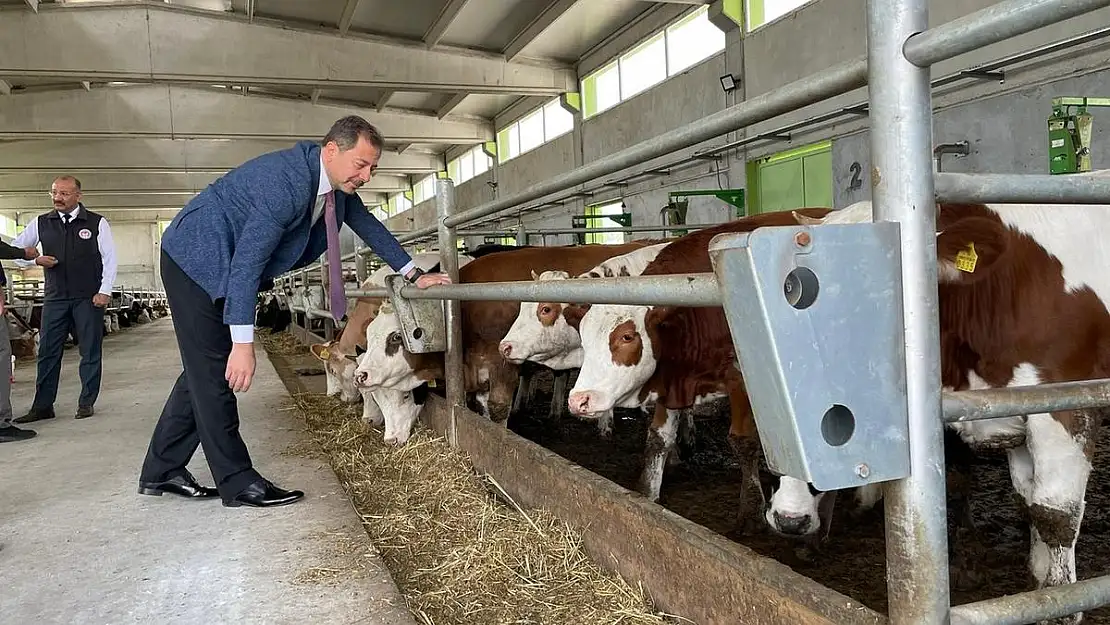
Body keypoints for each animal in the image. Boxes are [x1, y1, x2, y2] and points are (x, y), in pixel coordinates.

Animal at [350, 243, 652, 444]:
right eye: (370, 333)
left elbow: (497, 407)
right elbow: (484, 407)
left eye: (395, 337)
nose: (360, 375)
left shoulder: (503, 360)